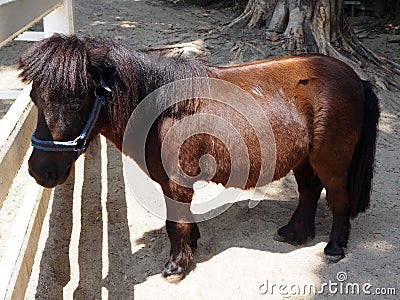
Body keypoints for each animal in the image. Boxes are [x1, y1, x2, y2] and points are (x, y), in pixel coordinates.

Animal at [21, 35, 378, 282]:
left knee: (338, 197)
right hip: (305, 159)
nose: (41, 171)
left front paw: (176, 266)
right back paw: (294, 232)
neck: (165, 108)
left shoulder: (177, 180)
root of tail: (356, 79)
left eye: (75, 101)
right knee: (308, 192)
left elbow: (174, 223)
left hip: (331, 160)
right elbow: (182, 219)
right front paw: (191, 246)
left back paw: (334, 248)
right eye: (35, 98)